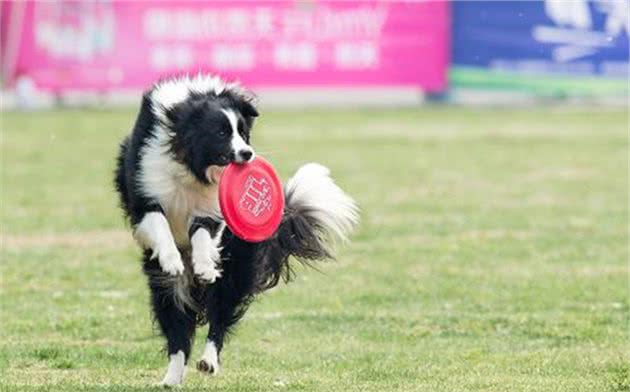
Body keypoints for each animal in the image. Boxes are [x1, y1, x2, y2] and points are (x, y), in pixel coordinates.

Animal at [115, 75, 358, 388]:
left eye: (242, 132)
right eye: (220, 133)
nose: (248, 154)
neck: (190, 166)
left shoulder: (211, 210)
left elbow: (203, 234)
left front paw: (205, 266)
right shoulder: (144, 192)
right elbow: (159, 224)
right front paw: (171, 260)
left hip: (235, 270)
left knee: (219, 317)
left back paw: (208, 361)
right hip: (165, 289)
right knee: (177, 332)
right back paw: (171, 378)